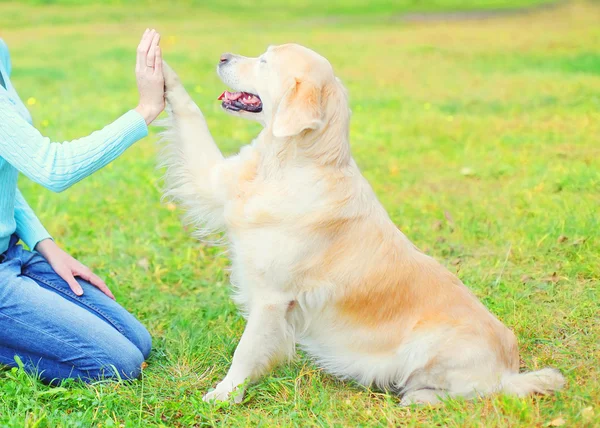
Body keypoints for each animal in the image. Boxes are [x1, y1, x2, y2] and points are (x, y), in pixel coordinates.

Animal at [157, 43, 564, 404]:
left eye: (264, 62)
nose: (222, 56)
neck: (288, 163)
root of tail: (509, 368)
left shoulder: (272, 297)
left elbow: (246, 351)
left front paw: (225, 395)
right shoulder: (214, 181)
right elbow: (191, 113)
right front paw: (161, 68)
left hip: (431, 344)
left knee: (478, 392)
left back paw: (419, 397)